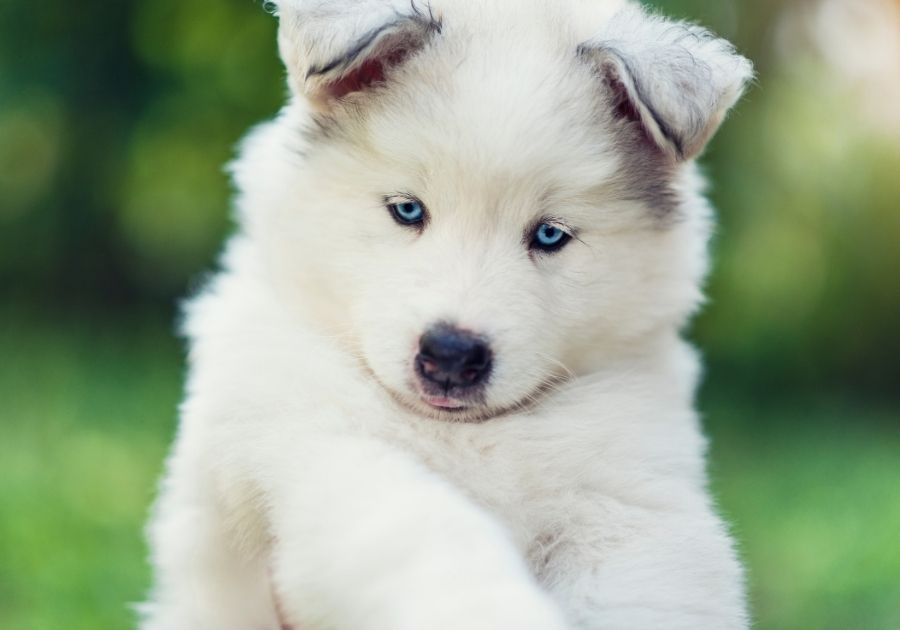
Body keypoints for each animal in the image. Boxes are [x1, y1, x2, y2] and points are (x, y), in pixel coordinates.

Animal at [144, 2, 756, 628]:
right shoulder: (311, 443)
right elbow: (431, 530)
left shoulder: (631, 496)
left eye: (550, 234)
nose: (452, 355)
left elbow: (645, 587)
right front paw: (491, 606)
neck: (463, 435)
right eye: (407, 210)